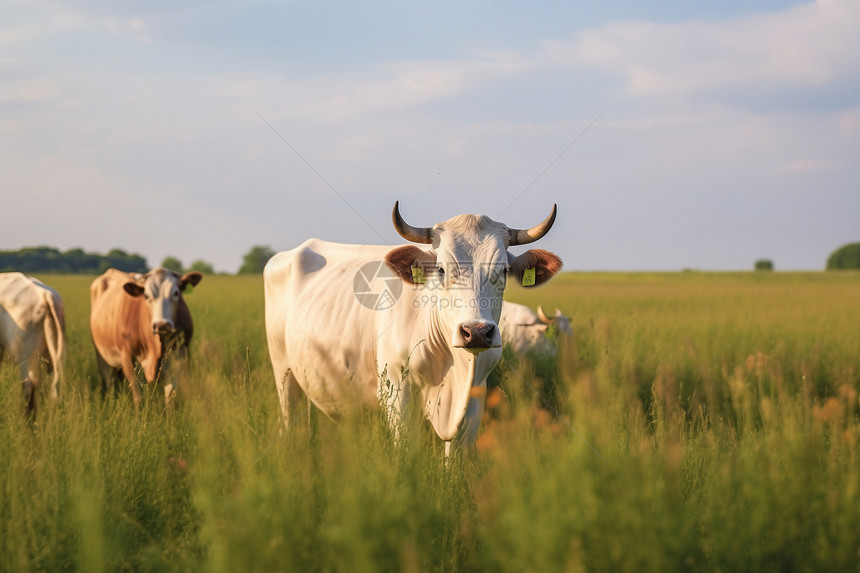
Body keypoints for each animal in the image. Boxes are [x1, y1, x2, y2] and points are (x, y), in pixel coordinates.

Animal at [90, 268, 202, 406]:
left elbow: (170, 397)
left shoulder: (180, 356)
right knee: (110, 386)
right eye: (147, 296)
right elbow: (139, 398)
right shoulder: (128, 359)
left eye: (176, 293)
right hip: (103, 358)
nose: (162, 324)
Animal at [262, 203, 564, 450]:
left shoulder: (475, 397)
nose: (476, 332)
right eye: (441, 270)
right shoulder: (397, 397)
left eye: (503, 271)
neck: (453, 364)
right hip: (283, 373)